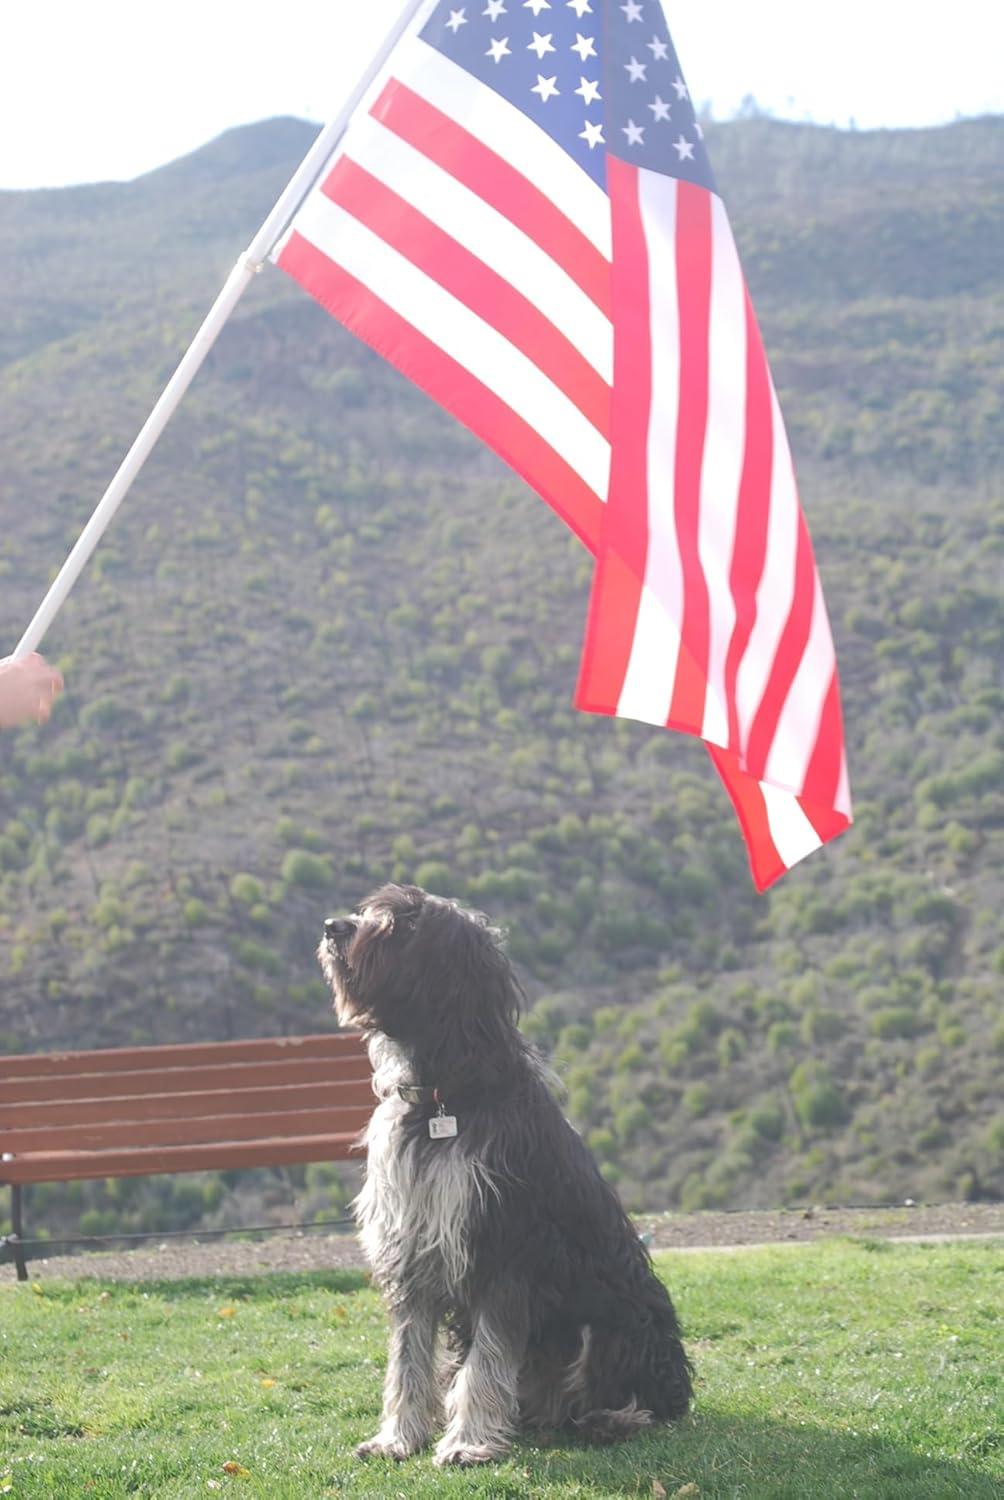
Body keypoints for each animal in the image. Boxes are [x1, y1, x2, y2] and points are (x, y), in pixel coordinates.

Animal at [316, 876, 693, 1464]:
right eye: (371, 911)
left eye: (407, 923)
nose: (334, 927)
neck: (443, 1097)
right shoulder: (412, 1252)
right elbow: (408, 1361)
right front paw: (398, 1437)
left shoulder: (505, 1251)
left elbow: (488, 1362)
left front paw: (468, 1442)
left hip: (616, 1316)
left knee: (639, 1398)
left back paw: (610, 1419)